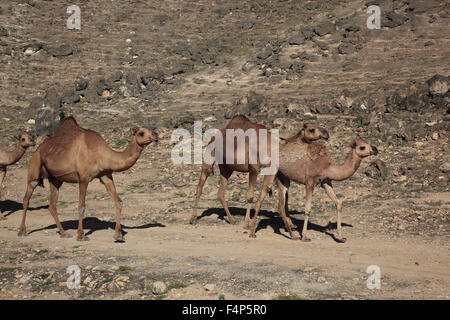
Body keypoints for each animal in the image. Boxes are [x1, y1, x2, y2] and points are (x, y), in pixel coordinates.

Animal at [18, 116, 158, 241]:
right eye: (141, 133)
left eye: (151, 130)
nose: (156, 135)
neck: (102, 154)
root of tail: (38, 148)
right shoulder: (83, 178)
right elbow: (81, 206)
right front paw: (81, 236)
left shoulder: (106, 176)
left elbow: (118, 201)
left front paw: (118, 236)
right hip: (35, 167)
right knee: (26, 198)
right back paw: (22, 231)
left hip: (55, 179)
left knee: (52, 205)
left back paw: (63, 233)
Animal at [188, 116, 328, 229]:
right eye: (311, 129)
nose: (327, 133)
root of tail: (213, 137)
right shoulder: (254, 169)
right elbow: (250, 196)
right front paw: (247, 223)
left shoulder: (274, 171)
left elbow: (284, 197)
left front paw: (291, 223)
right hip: (209, 157)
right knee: (200, 186)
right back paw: (192, 218)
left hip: (226, 168)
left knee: (220, 192)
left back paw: (232, 220)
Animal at [250, 139, 380, 241]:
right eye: (362, 147)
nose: (375, 149)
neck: (328, 166)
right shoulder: (310, 182)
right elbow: (307, 209)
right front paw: (305, 237)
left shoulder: (326, 182)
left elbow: (338, 203)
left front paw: (341, 237)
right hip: (271, 172)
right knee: (261, 198)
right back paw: (252, 233)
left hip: (283, 177)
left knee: (280, 205)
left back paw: (293, 236)